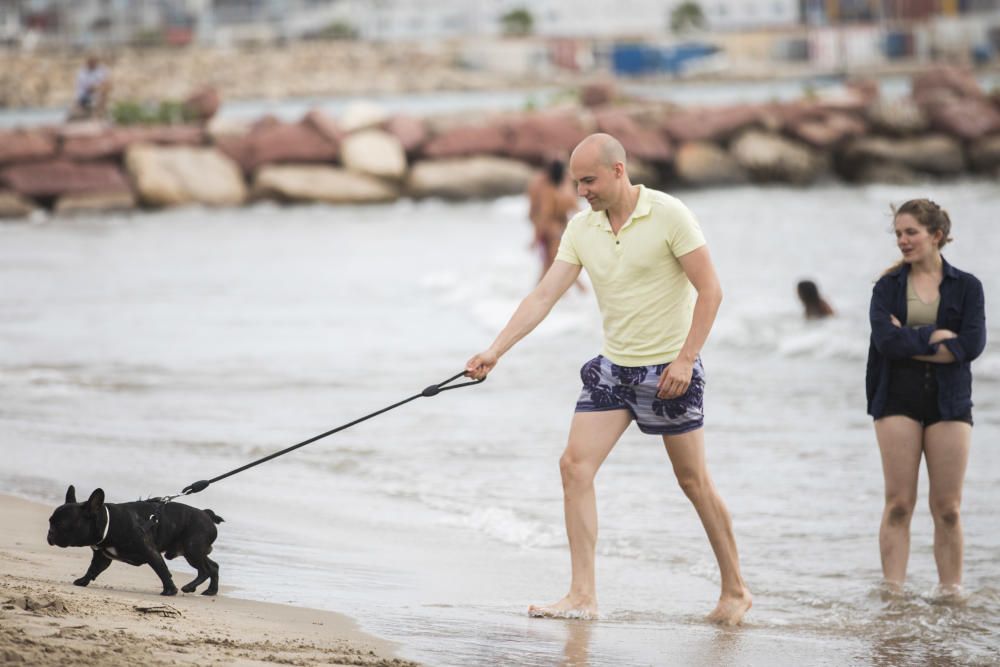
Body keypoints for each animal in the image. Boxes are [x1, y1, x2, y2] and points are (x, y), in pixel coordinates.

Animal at [47, 482, 224, 596]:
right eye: (50, 521)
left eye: (62, 524)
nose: (50, 533)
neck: (109, 522)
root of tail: (207, 515)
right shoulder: (102, 557)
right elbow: (93, 569)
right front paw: (83, 581)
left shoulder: (151, 552)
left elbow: (162, 571)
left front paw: (169, 591)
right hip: (193, 551)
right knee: (213, 567)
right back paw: (211, 591)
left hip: (192, 549)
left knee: (204, 570)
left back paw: (189, 587)